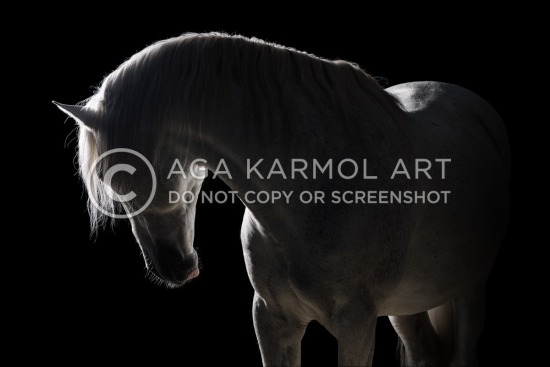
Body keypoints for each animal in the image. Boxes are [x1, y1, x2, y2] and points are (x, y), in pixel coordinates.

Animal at [55, 33, 508, 366]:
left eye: (122, 178)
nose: (173, 268)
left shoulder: (357, 324)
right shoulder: (273, 321)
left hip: (468, 293)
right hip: (406, 306)